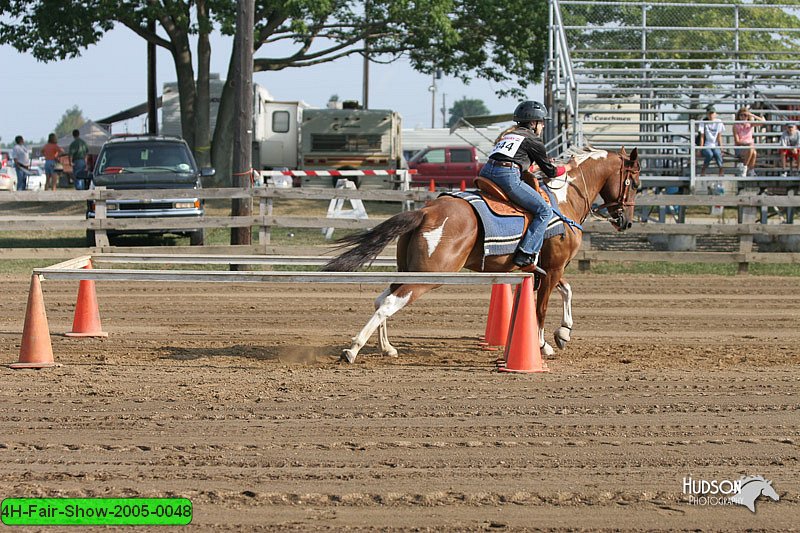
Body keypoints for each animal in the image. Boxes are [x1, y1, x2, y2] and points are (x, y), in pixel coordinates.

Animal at [322, 145, 640, 362]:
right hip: (431, 275)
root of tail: (426, 211)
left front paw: (562, 333)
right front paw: (543, 345)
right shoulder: (553, 268)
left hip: (409, 269)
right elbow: (541, 308)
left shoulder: (545, 269)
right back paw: (352, 349)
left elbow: (567, 291)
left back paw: (387, 347)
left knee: (381, 299)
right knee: (389, 302)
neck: (563, 201)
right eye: (635, 183)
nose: (625, 221)